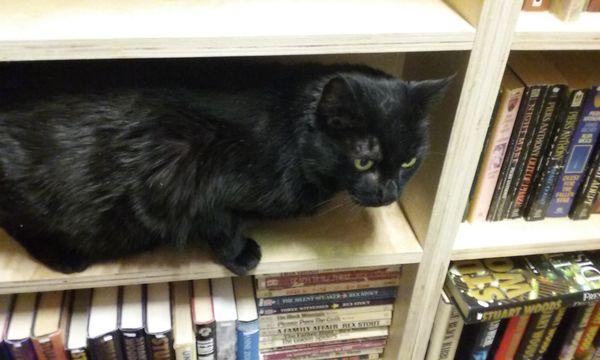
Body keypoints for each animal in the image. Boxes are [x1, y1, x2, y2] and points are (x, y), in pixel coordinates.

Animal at [0, 60, 450, 274]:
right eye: (364, 160)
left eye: (410, 160)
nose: (389, 193)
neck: (289, 132)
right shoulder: (188, 171)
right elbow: (219, 220)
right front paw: (240, 254)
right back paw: (67, 258)